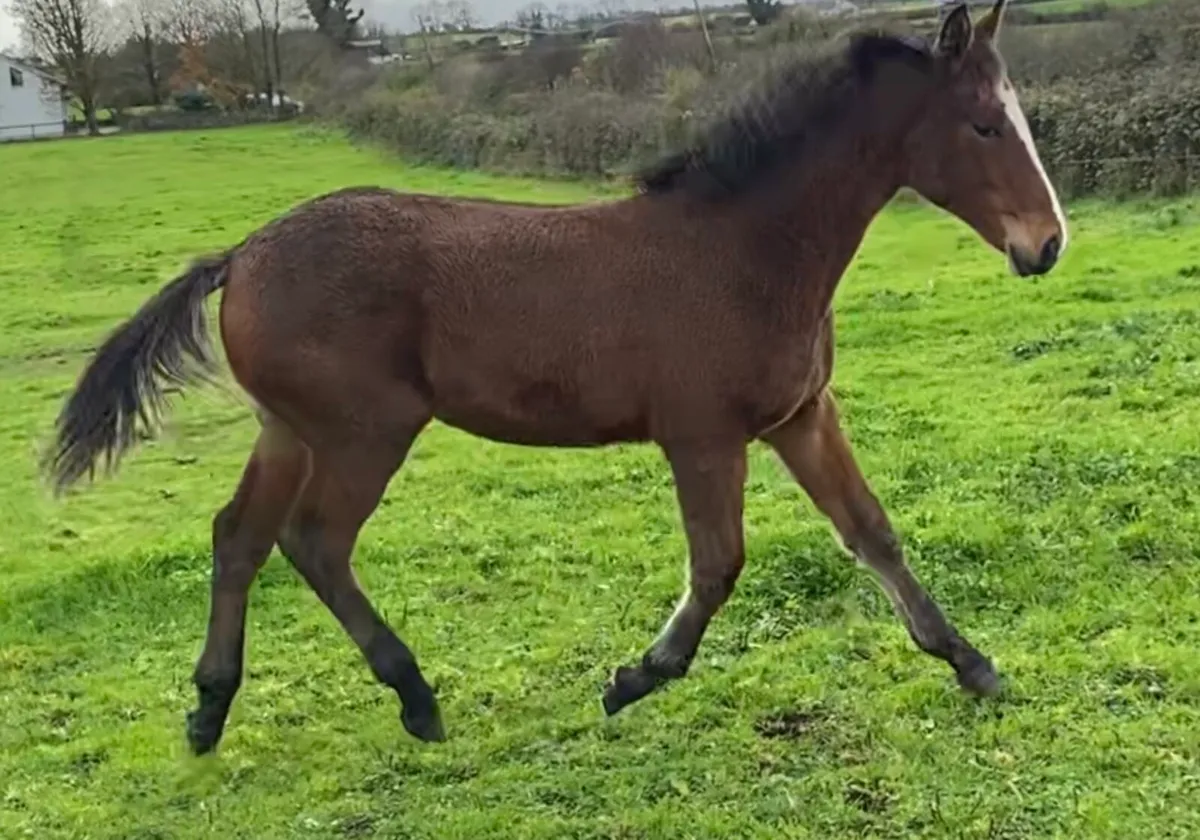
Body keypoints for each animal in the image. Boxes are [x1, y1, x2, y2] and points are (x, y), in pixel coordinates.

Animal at [43, 0, 1066, 755]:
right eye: (984, 124)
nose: (1046, 245)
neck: (747, 247)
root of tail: (243, 255)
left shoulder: (800, 416)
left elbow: (872, 532)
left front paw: (972, 664)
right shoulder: (703, 434)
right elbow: (719, 564)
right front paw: (632, 680)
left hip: (289, 429)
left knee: (239, 537)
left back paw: (210, 709)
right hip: (363, 431)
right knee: (315, 541)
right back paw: (415, 697)